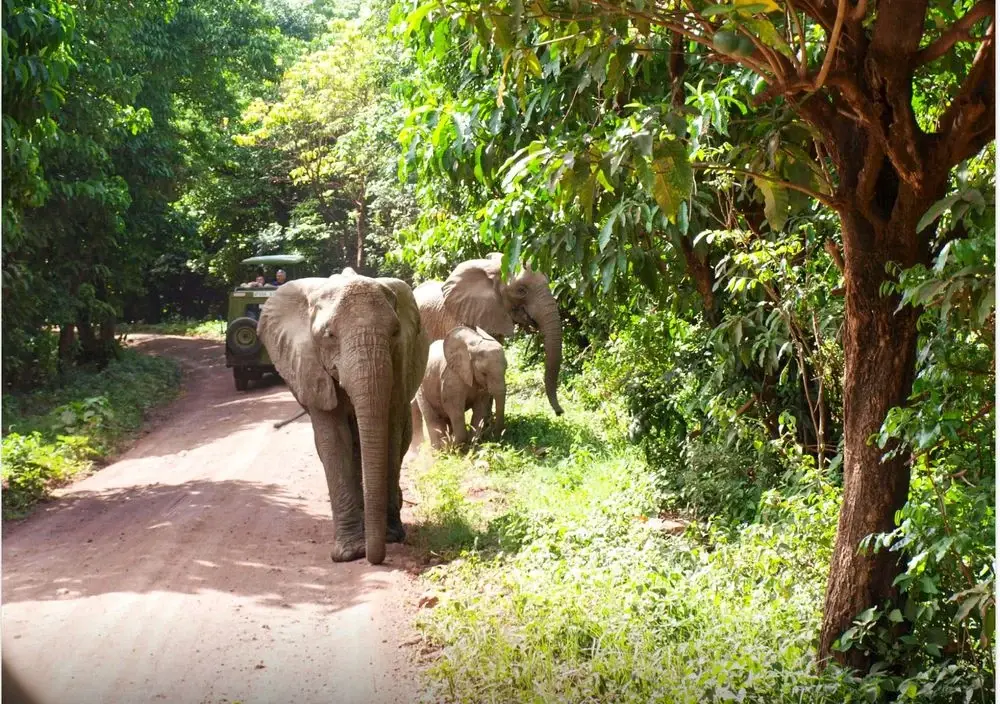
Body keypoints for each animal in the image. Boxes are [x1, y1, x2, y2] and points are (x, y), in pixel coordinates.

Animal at [258, 269, 429, 565]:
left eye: (395, 332)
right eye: (329, 335)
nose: (376, 559)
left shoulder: (400, 363)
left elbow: (389, 434)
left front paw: (390, 536)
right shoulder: (310, 367)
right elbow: (334, 440)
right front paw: (350, 553)